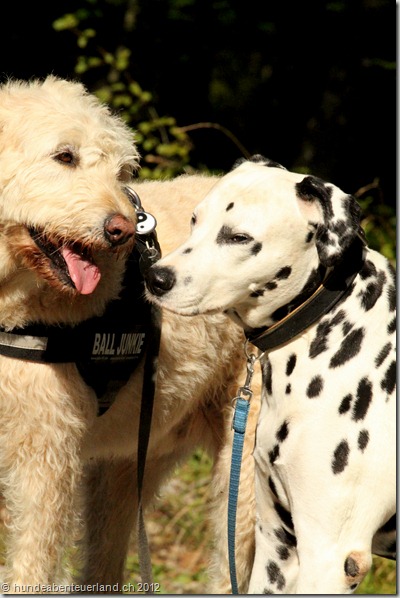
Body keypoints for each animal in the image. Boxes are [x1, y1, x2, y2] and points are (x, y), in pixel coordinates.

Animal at [0, 76, 256, 596]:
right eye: (65, 156)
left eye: (121, 171)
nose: (120, 231)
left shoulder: (42, 459)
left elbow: (31, 566)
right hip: (135, 457)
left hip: (247, 474)